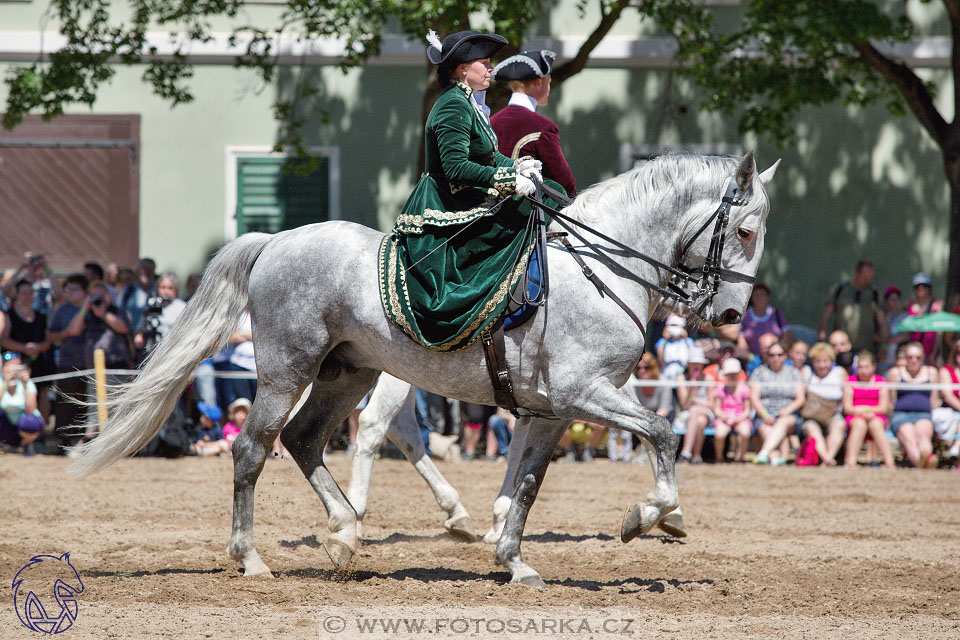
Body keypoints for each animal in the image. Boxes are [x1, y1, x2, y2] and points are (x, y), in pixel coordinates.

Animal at [73, 151, 780, 592]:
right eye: (745, 231)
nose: (731, 312)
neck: (601, 273)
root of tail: (276, 239)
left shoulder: (555, 411)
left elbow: (529, 484)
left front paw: (515, 561)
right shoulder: (588, 393)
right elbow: (662, 432)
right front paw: (647, 515)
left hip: (348, 374)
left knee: (308, 440)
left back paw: (346, 536)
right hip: (286, 370)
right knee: (254, 448)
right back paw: (252, 559)